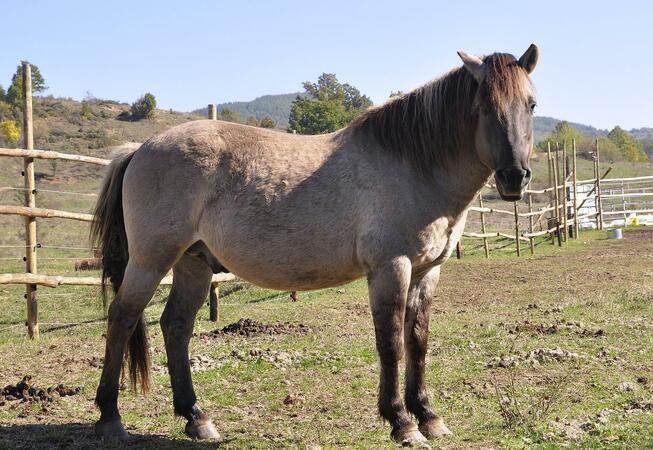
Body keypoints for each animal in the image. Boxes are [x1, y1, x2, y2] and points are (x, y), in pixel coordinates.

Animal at [90, 45, 540, 446]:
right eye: (484, 108)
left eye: (531, 105)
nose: (514, 177)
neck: (413, 164)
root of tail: (141, 149)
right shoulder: (391, 268)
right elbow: (391, 342)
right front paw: (401, 422)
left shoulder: (427, 272)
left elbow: (417, 340)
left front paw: (429, 416)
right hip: (151, 260)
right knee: (122, 319)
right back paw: (111, 419)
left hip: (193, 263)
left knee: (176, 326)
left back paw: (197, 419)